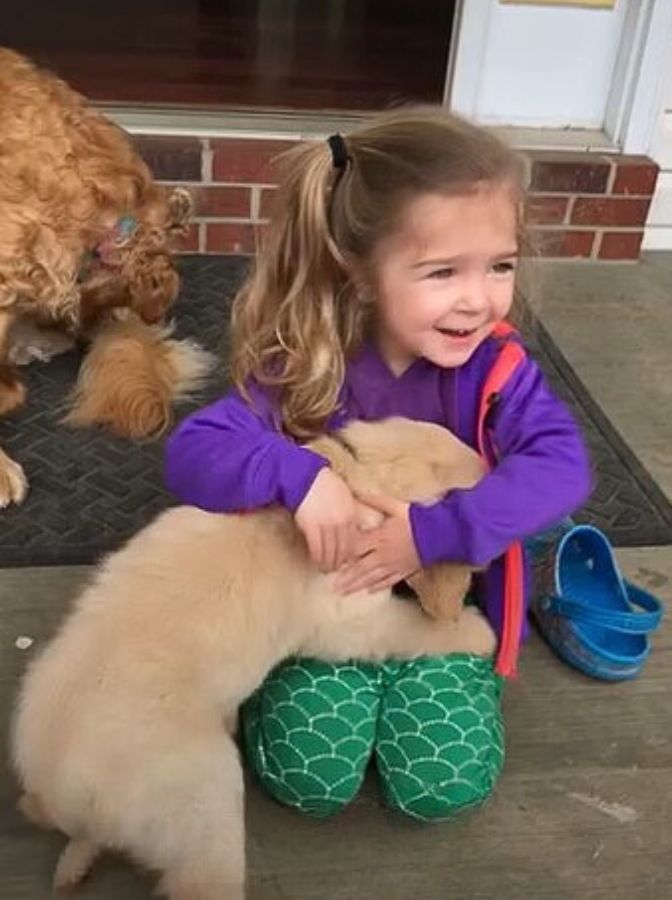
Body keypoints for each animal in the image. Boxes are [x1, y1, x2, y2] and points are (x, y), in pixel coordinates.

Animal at [11, 418, 494, 900]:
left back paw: (73, 867)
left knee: (86, 836)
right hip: (208, 805)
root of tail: (59, 791)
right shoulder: (355, 620)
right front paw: (479, 631)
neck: (355, 476)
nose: (489, 462)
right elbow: (416, 628)